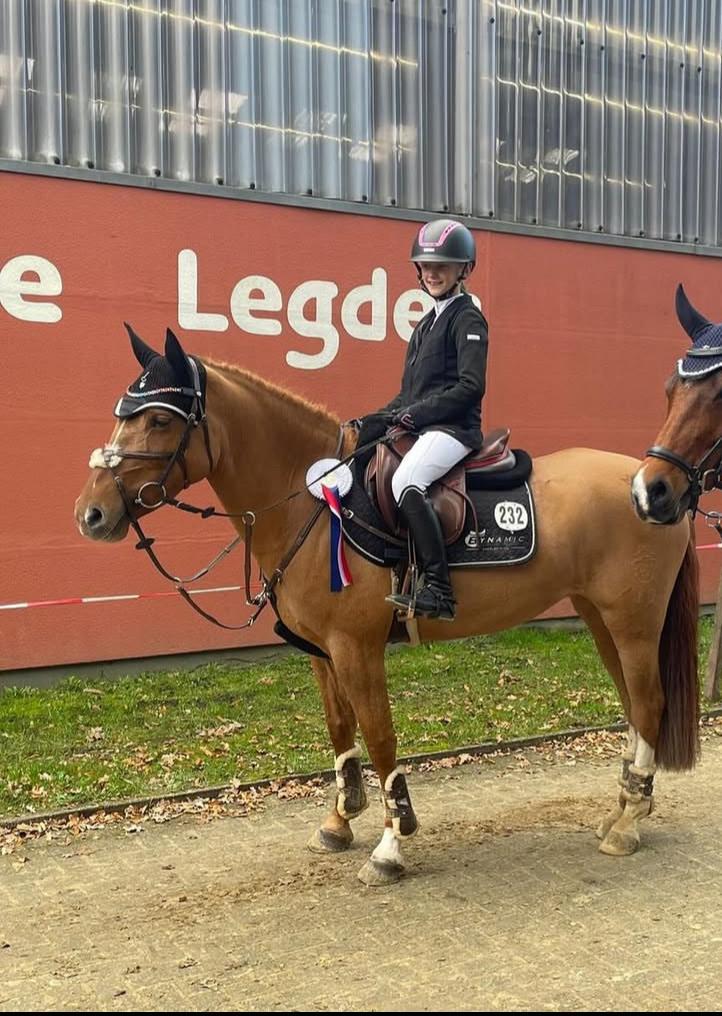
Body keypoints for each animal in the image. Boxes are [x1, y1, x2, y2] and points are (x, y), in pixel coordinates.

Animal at [74, 325, 699, 886]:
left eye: (159, 420)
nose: (91, 514)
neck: (312, 501)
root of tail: (653, 486)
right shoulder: (322, 651)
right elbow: (339, 728)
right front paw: (339, 820)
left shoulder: (357, 647)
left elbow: (379, 738)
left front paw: (391, 846)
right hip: (600, 617)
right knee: (633, 705)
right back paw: (621, 811)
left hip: (633, 623)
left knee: (648, 704)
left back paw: (628, 824)